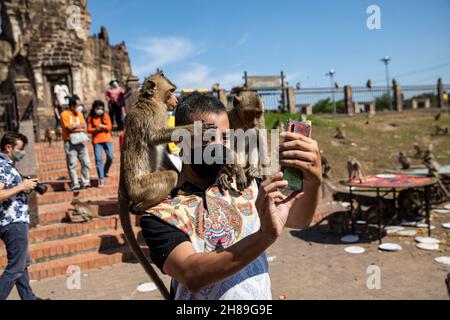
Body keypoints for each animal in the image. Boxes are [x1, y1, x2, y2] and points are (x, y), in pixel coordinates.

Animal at [118, 70, 215, 300]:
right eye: (171, 91)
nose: (176, 100)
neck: (149, 99)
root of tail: (123, 189)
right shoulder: (157, 112)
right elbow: (155, 136)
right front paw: (196, 129)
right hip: (142, 187)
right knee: (168, 176)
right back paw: (141, 206)